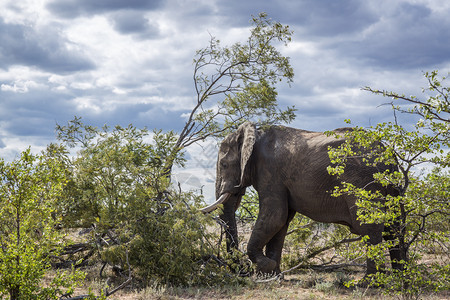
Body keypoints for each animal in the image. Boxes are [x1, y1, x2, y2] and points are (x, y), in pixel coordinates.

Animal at [200, 122, 404, 276]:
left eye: (224, 164)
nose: (242, 269)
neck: (255, 133)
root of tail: (391, 157)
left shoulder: (271, 172)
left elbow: (275, 215)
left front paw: (266, 268)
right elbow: (282, 222)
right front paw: (272, 275)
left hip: (365, 183)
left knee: (370, 227)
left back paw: (368, 283)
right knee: (394, 229)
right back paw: (400, 278)